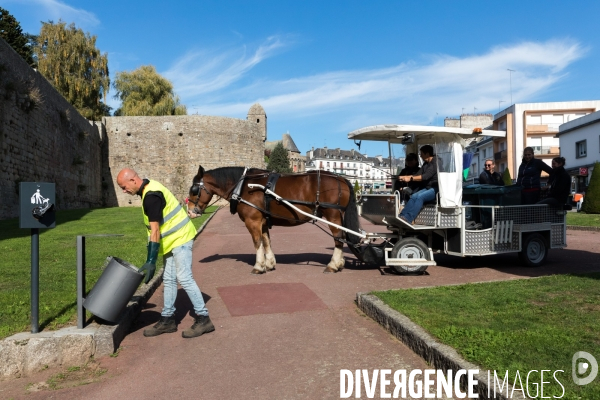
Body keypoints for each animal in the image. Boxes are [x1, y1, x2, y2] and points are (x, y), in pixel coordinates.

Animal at [188, 164, 360, 274]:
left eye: (194, 189)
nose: (190, 212)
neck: (244, 186)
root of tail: (341, 179)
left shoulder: (253, 221)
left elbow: (257, 242)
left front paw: (259, 266)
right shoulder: (263, 221)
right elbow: (266, 241)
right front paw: (269, 264)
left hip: (333, 215)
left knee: (338, 238)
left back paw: (333, 265)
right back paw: (340, 263)